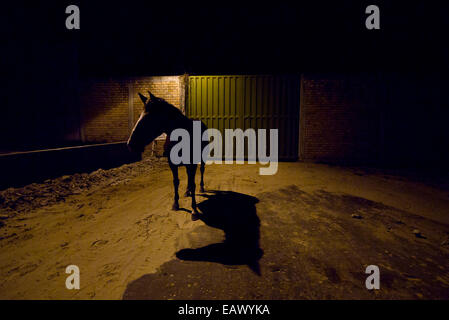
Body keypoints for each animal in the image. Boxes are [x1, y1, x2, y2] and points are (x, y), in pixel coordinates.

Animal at [126, 90, 206, 220]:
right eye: (139, 116)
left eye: (149, 117)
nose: (130, 144)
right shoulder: (172, 164)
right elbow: (176, 182)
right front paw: (176, 204)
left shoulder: (192, 164)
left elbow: (193, 183)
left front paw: (194, 210)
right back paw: (187, 191)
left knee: (202, 171)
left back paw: (202, 187)